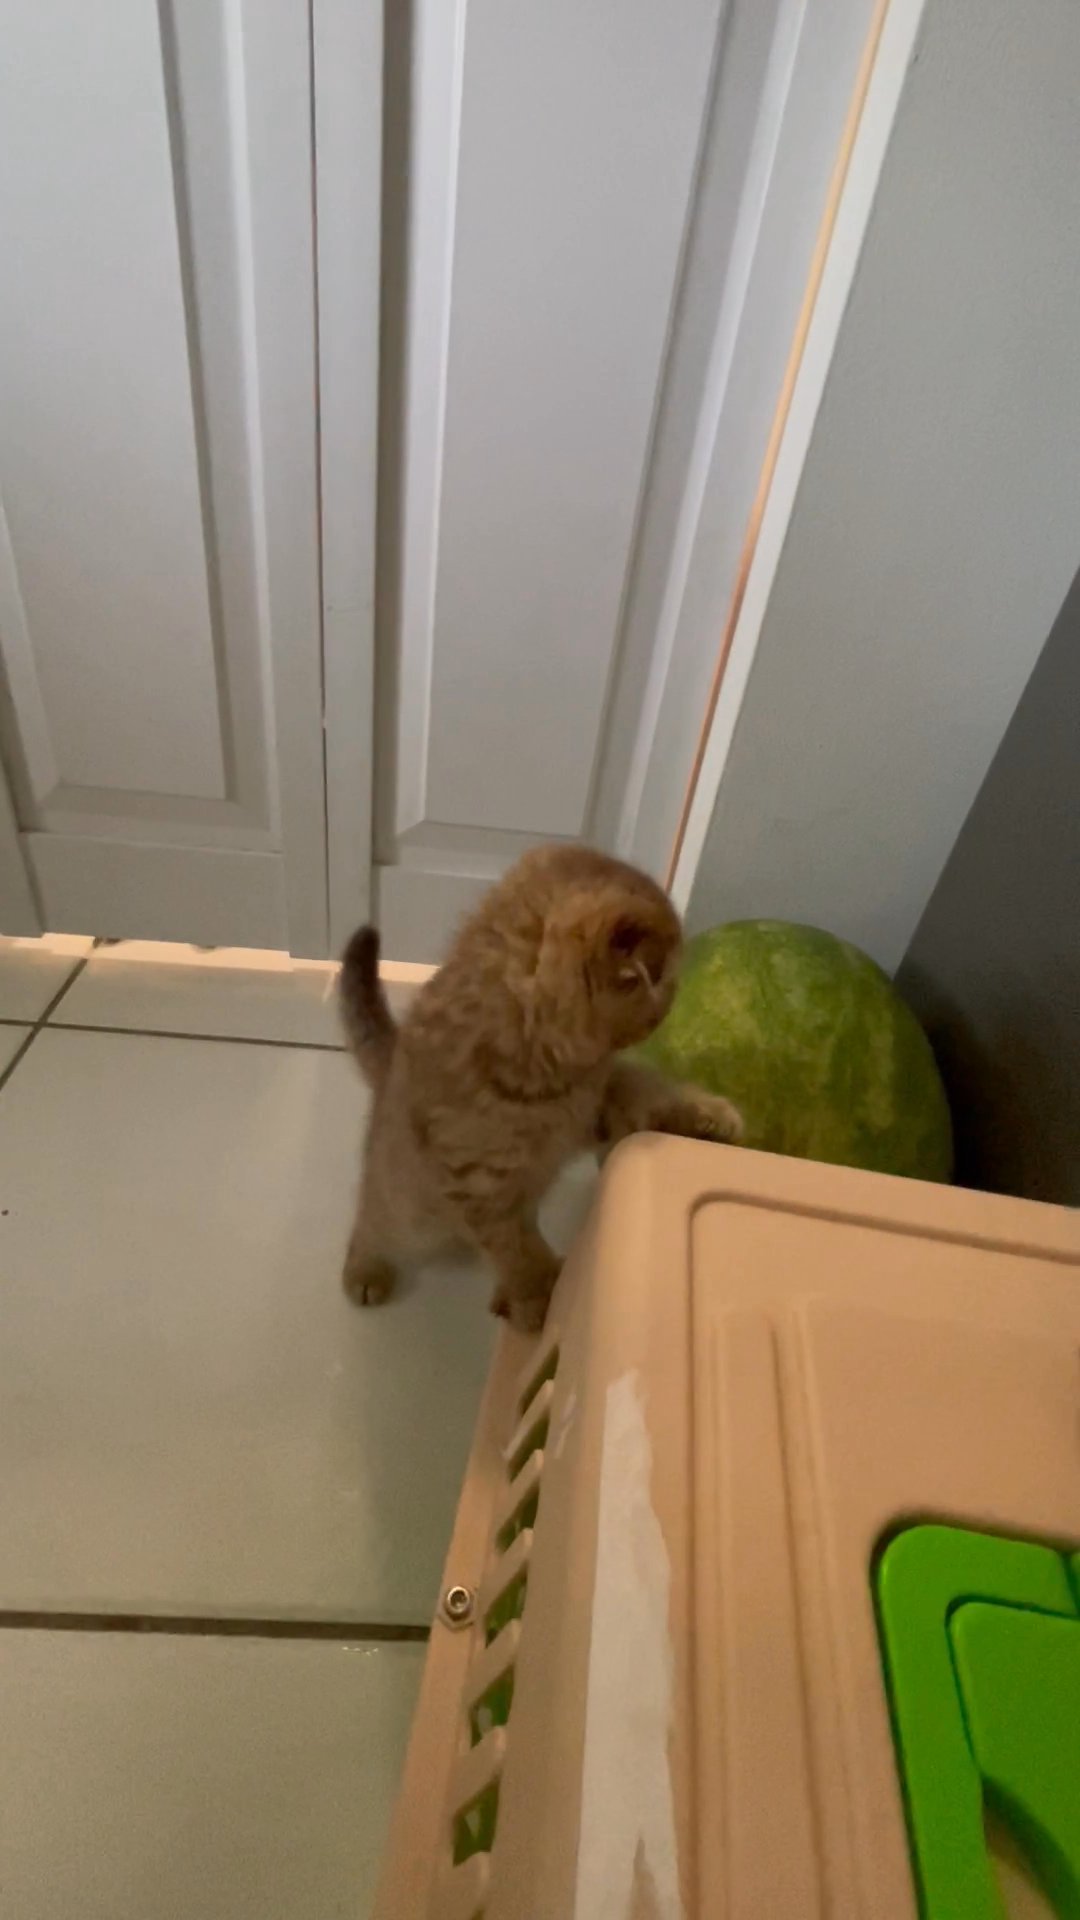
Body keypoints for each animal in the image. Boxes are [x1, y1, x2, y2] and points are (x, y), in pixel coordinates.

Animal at [336, 848, 737, 1328]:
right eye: (662, 985)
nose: (664, 1014)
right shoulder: (480, 1186)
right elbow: (518, 1250)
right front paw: (541, 1299)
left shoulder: (595, 1106)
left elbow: (646, 1088)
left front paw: (707, 1117)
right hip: (411, 1213)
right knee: (371, 1217)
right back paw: (364, 1269)